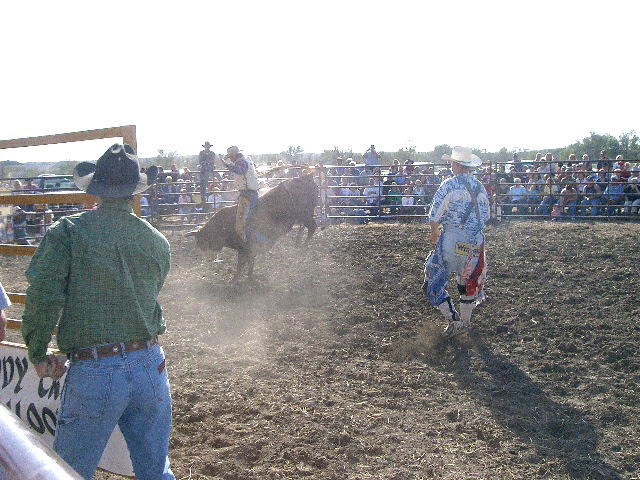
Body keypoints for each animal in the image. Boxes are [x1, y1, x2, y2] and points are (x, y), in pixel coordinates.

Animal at [189, 172, 318, 280]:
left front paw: (236, 279)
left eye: (203, 242)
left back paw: (304, 247)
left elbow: (242, 263)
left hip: (306, 215)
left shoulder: (245, 247)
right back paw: (299, 244)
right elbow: (249, 261)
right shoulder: (249, 248)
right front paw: (249, 276)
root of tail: (306, 177)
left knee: (312, 227)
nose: (209, 260)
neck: (223, 225)